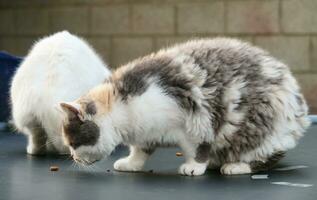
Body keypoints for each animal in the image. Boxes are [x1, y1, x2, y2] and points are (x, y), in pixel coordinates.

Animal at [59, 37, 308, 175]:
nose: (73, 158)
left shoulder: (196, 123)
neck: (123, 104)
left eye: (73, 143)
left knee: (266, 158)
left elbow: (198, 148)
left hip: (264, 130)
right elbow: (140, 150)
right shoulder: (145, 132)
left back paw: (235, 166)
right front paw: (131, 163)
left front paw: (195, 166)